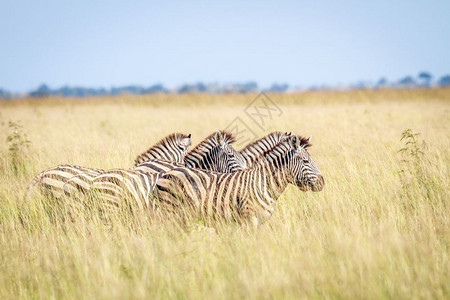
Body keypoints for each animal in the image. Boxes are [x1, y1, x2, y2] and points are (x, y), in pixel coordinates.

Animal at [154, 135, 324, 226]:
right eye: (305, 161)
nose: (322, 182)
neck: (263, 184)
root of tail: (166, 174)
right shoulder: (250, 219)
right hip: (170, 213)